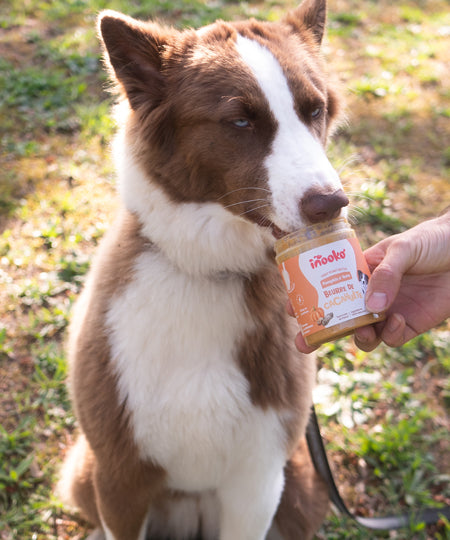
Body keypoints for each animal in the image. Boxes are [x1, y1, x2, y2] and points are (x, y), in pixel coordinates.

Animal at [58, 2, 350, 536]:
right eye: (239, 120)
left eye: (314, 110)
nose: (331, 203)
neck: (209, 270)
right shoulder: (118, 475)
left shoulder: (258, 482)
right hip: (84, 471)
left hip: (301, 487)